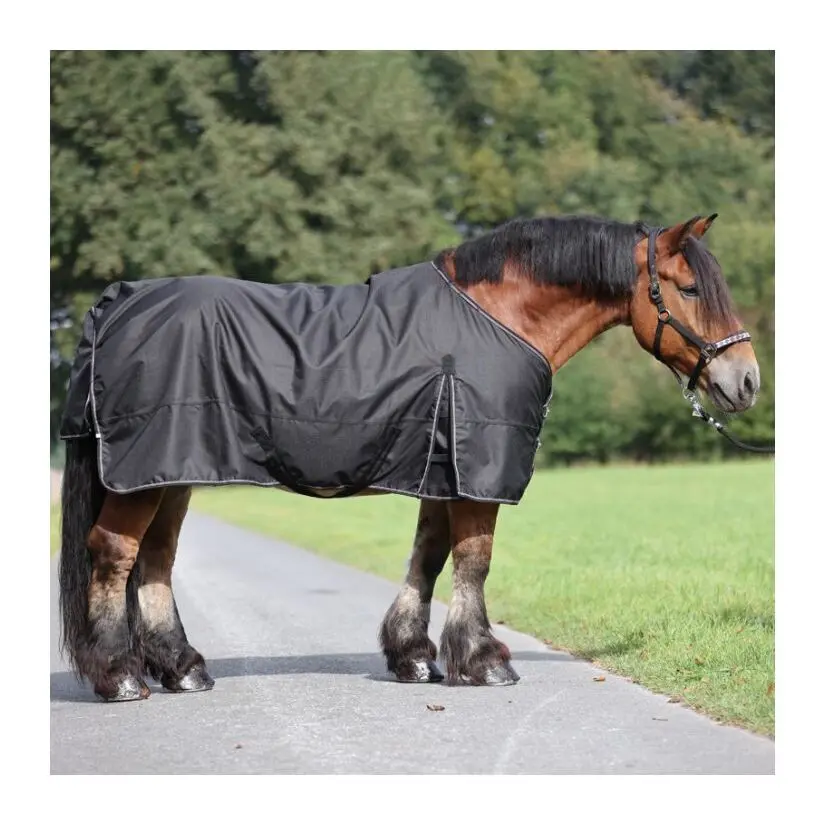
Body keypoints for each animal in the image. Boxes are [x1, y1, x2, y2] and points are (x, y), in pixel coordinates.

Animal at [57, 213, 761, 701]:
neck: (499, 317)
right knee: (114, 554)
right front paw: (484, 659)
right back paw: (121, 676)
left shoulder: (440, 468)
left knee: (155, 560)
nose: (747, 381)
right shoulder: (478, 470)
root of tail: (118, 304)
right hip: (145, 474)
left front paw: (414, 656)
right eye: (690, 288)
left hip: (172, 471)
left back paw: (183, 668)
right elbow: (474, 560)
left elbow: (429, 554)